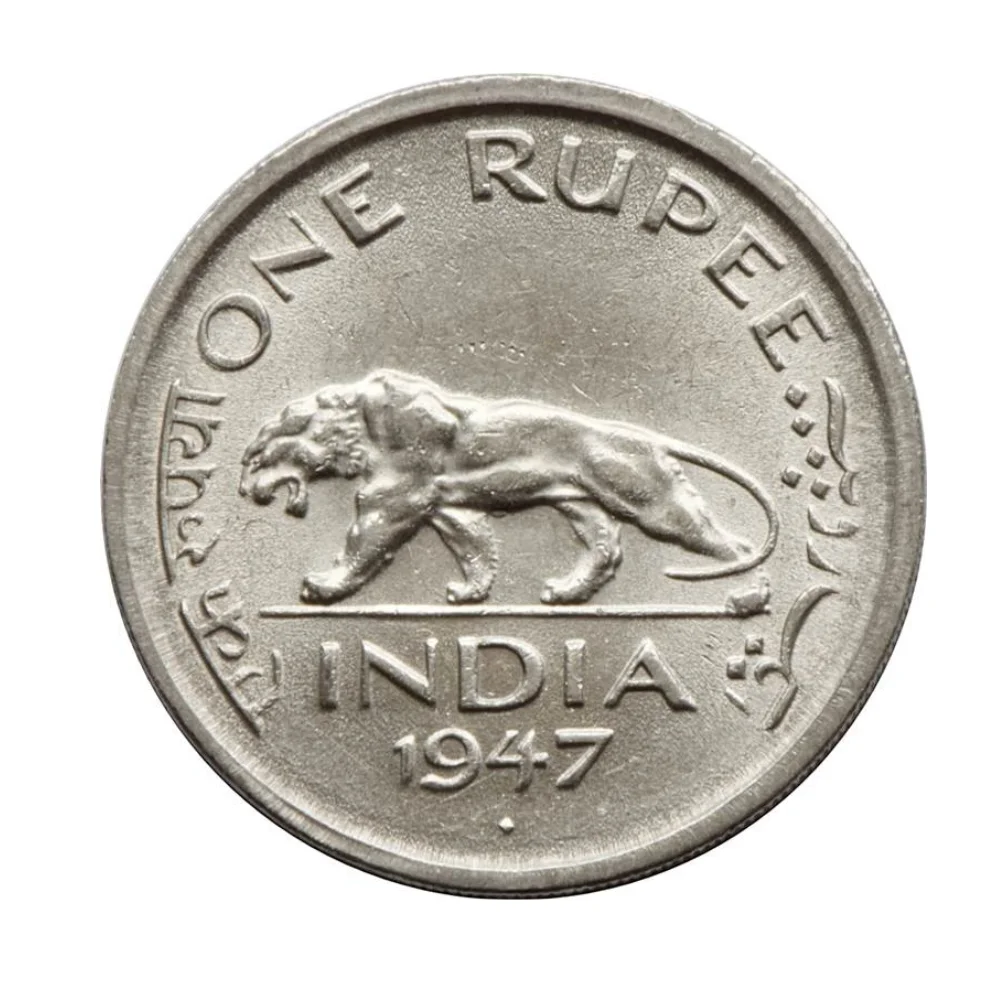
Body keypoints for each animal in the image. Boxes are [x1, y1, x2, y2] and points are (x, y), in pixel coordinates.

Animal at [239, 369, 778, 604]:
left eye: (257, 459)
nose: (246, 490)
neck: (357, 422)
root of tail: (646, 437)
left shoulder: (394, 497)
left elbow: (364, 543)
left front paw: (327, 585)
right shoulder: (446, 506)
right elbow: (475, 547)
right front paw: (472, 591)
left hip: (654, 500)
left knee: (732, 545)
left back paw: (748, 597)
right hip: (581, 505)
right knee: (604, 551)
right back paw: (567, 592)